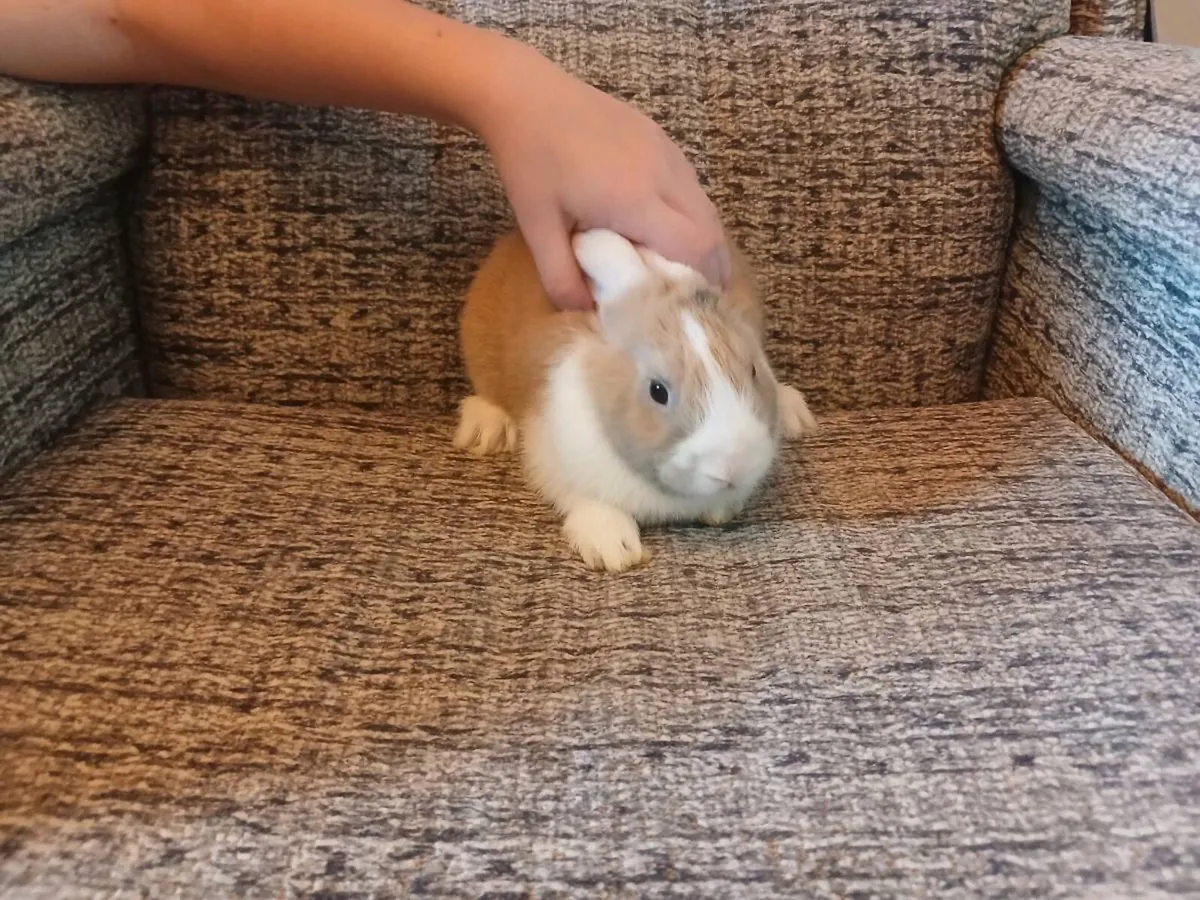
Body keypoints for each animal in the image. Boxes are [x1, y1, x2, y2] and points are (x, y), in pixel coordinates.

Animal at [455, 227, 817, 572]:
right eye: (658, 391)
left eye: (753, 369)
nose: (735, 466)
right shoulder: (555, 455)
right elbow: (587, 499)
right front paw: (613, 547)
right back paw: (485, 430)